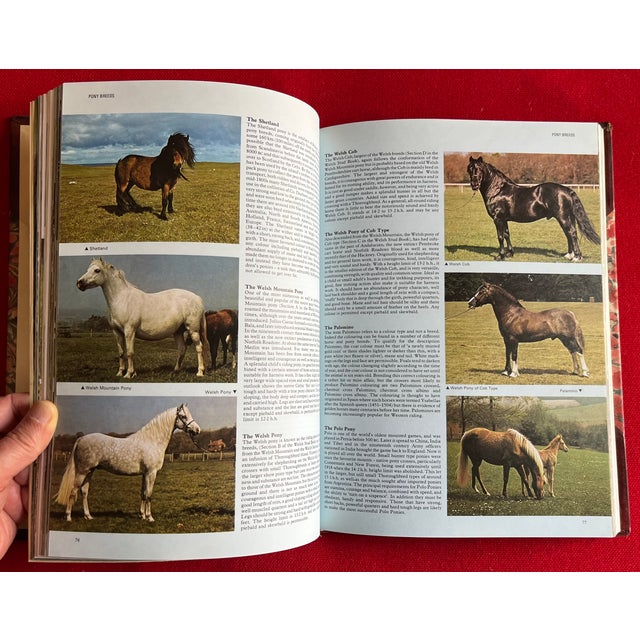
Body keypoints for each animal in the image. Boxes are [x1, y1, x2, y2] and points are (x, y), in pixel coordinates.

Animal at [55, 404, 201, 522]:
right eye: (183, 416)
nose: (197, 430)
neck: (151, 441)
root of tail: (81, 439)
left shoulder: (145, 474)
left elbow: (143, 493)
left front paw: (142, 515)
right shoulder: (151, 473)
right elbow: (149, 494)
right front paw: (150, 517)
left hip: (90, 471)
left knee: (84, 492)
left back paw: (88, 516)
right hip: (82, 471)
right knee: (73, 491)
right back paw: (68, 517)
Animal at [76, 258, 212, 378]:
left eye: (97, 270)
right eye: (88, 269)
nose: (79, 283)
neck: (122, 299)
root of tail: (197, 298)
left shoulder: (129, 331)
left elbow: (130, 352)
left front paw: (129, 374)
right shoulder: (117, 332)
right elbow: (121, 353)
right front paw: (121, 373)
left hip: (193, 330)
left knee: (199, 348)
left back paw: (200, 372)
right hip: (177, 332)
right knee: (182, 349)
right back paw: (176, 370)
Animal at [467, 156, 600, 262]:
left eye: (479, 169)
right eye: (469, 169)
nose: (474, 185)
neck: (498, 190)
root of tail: (567, 190)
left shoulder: (498, 219)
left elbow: (500, 237)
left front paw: (500, 256)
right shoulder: (504, 220)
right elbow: (506, 234)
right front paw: (510, 253)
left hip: (563, 217)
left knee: (571, 233)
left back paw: (576, 257)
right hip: (568, 217)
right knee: (569, 233)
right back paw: (569, 255)